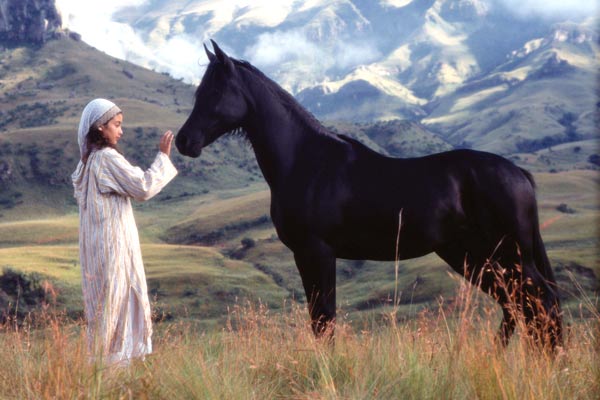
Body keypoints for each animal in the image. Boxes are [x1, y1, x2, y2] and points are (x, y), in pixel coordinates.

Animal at [177, 39, 564, 346]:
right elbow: (321, 319)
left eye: (215, 92)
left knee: (539, 302)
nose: (183, 141)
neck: (305, 159)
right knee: (518, 306)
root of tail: (519, 174)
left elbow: (324, 319)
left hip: (508, 257)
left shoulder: (316, 252)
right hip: (472, 257)